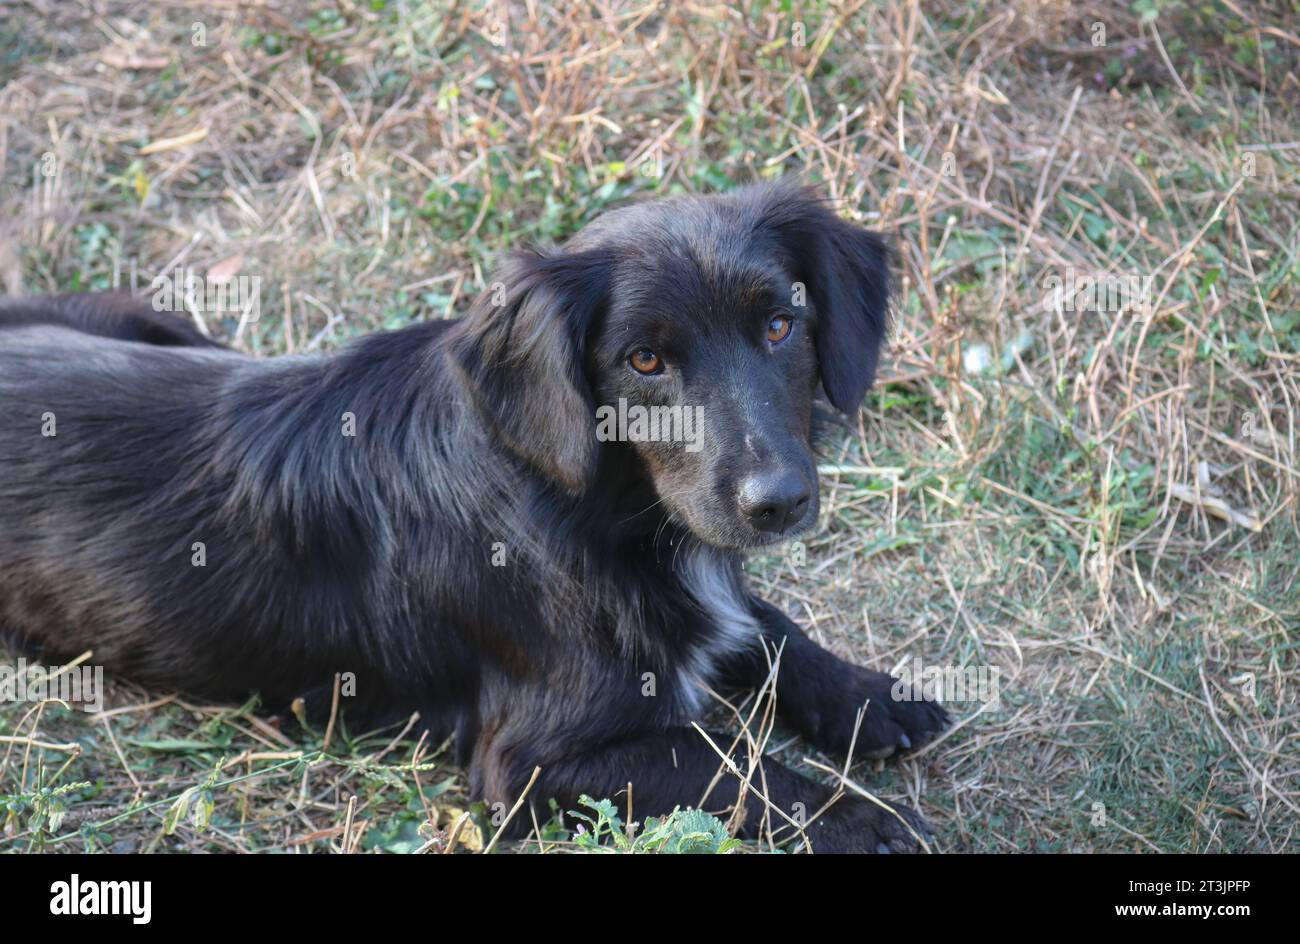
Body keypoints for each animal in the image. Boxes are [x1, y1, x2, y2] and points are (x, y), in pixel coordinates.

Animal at [0, 180, 946, 852]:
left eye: (782, 325)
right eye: (644, 359)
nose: (778, 502)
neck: (583, 503)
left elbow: (762, 623)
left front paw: (871, 696)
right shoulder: (530, 763)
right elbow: (725, 761)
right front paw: (857, 819)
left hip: (140, 314)